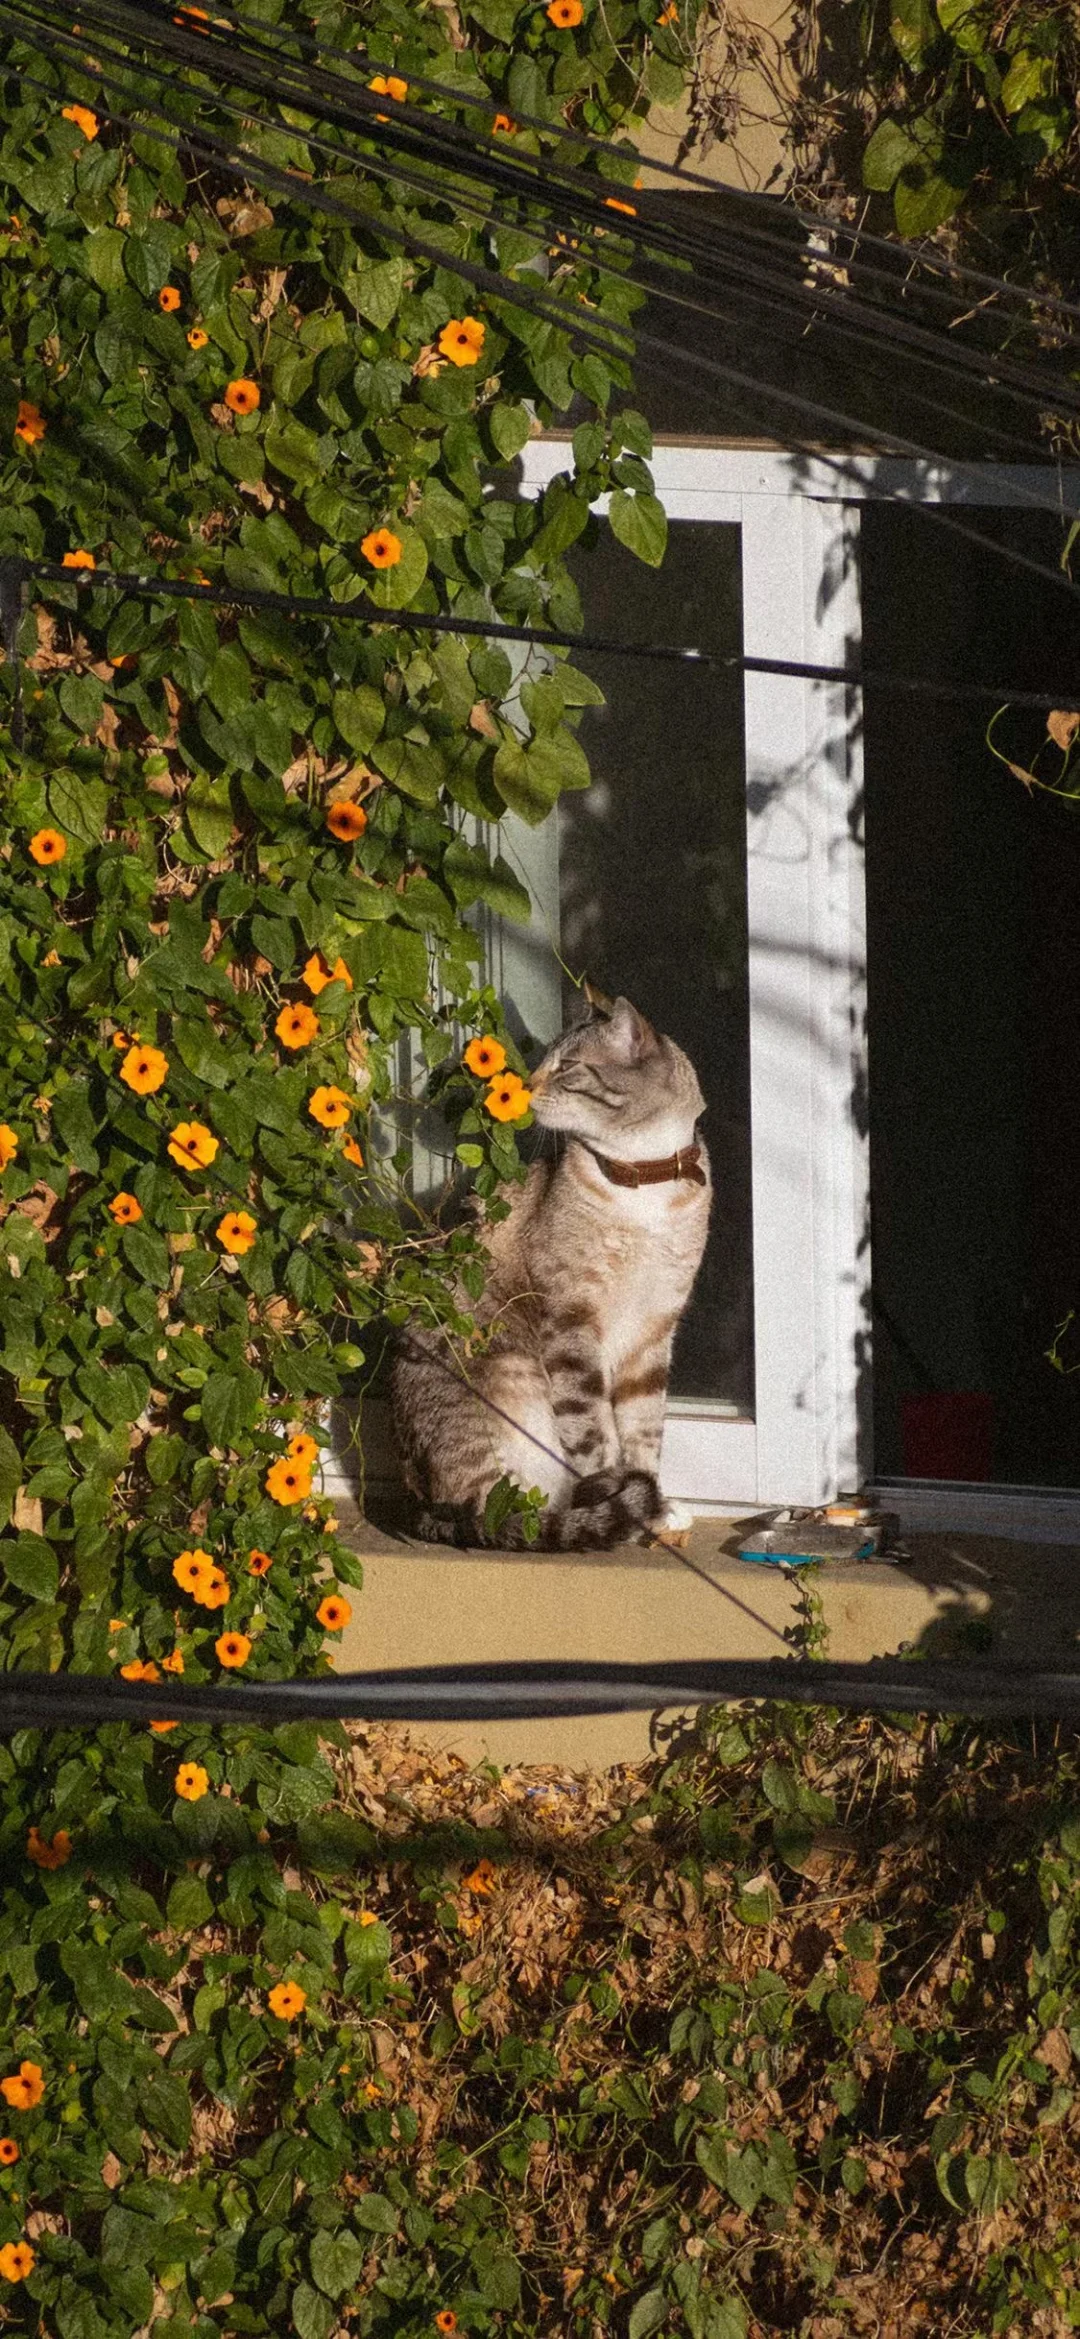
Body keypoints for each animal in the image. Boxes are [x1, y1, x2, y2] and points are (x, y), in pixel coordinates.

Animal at [392, 991, 710, 1553]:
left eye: (567, 1068)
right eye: (542, 1062)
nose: (523, 1087)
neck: (646, 1187)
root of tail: (412, 1497)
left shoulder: (654, 1332)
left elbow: (644, 1430)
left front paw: (653, 1503)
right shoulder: (572, 1323)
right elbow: (595, 1435)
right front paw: (624, 1502)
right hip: (509, 1384)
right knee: (494, 1513)